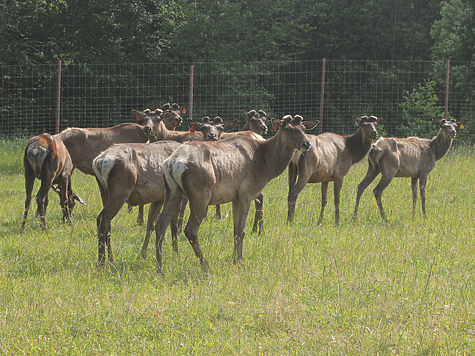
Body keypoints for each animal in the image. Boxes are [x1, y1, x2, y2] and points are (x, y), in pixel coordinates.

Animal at [92, 116, 237, 264]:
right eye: (203, 128)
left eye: (220, 128)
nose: (212, 136)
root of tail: (99, 160)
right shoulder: (178, 195)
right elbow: (173, 224)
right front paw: (176, 253)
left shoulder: (158, 197)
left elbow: (151, 225)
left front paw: (143, 254)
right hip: (120, 190)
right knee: (102, 219)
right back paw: (102, 262)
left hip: (104, 190)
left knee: (107, 222)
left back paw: (111, 259)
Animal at [154, 114, 322, 272]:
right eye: (287, 128)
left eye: (303, 128)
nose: (306, 144)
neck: (266, 164)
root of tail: (173, 162)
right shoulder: (246, 193)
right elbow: (242, 230)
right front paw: (239, 262)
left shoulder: (235, 198)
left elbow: (235, 231)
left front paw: (234, 259)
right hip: (200, 194)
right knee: (190, 230)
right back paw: (206, 266)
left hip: (173, 192)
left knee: (160, 226)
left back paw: (160, 268)